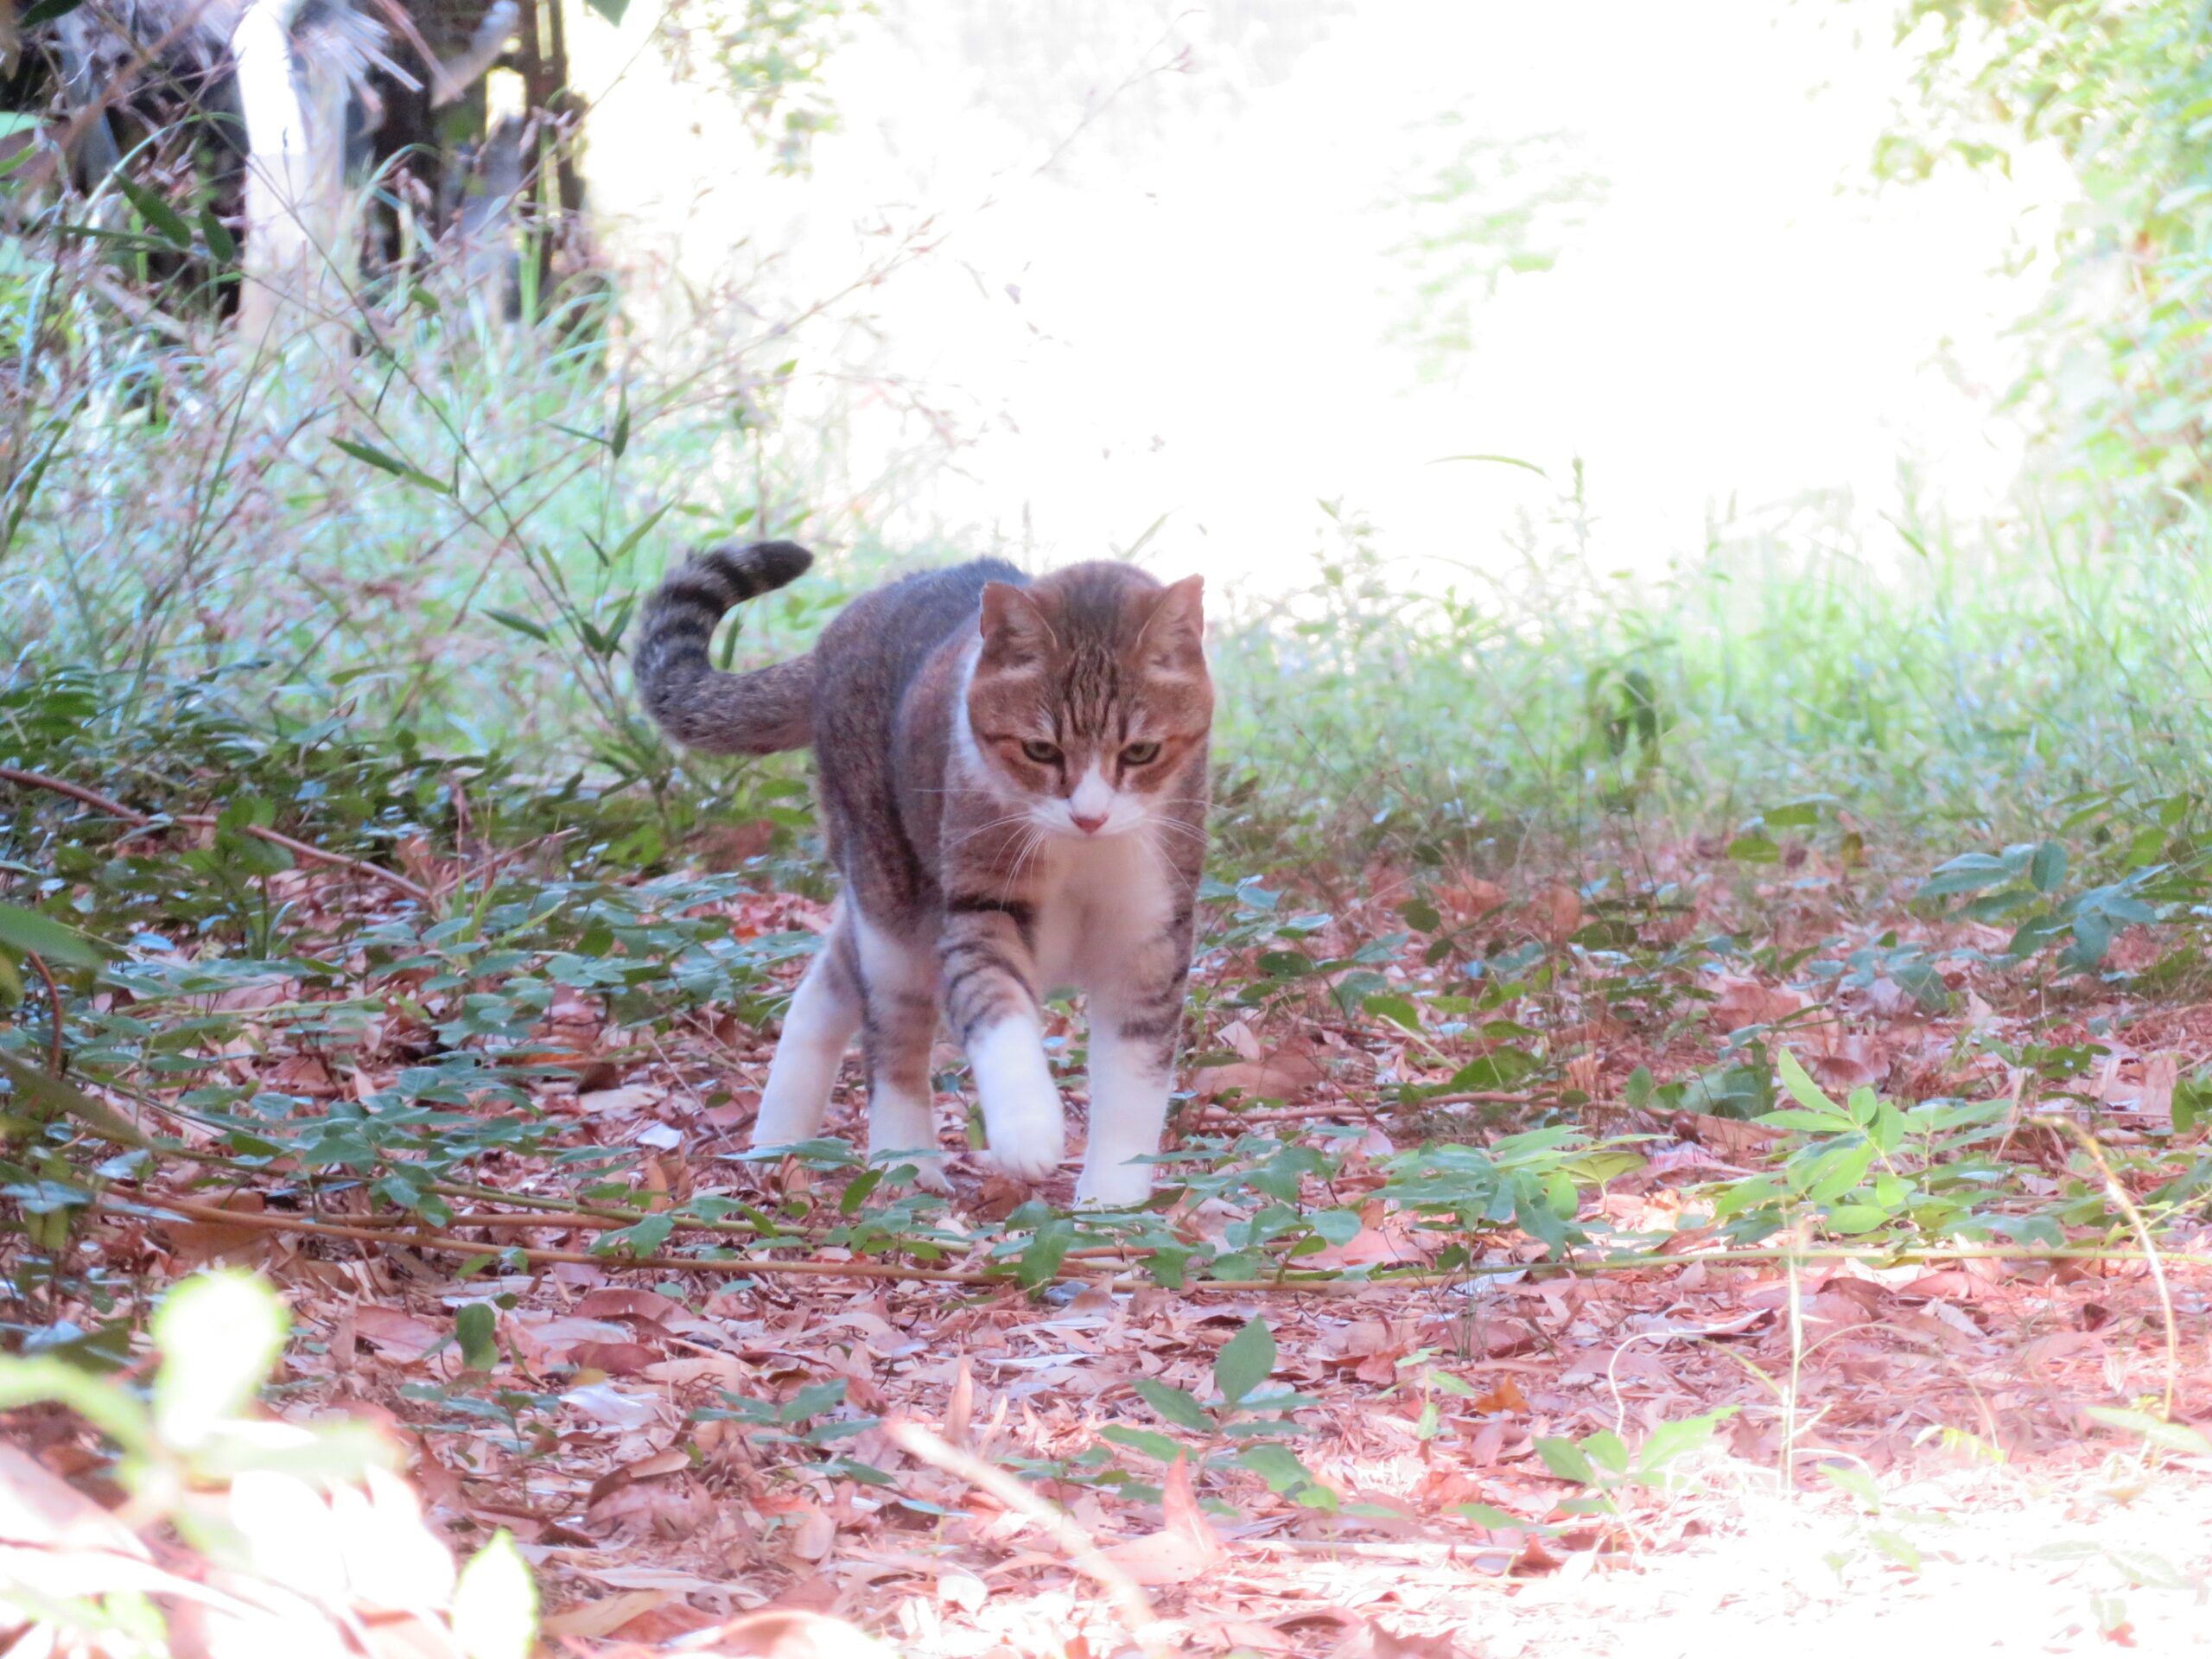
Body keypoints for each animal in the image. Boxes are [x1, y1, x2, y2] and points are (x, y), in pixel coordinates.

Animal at [632, 548, 1221, 1211]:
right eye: (1040, 751)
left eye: (1141, 752)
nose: (1090, 816)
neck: (1081, 857)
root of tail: (844, 628)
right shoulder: (978, 906)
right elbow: (996, 1008)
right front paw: (1028, 1130)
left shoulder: (1151, 934)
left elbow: (1135, 1074)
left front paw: (1114, 1202)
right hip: (890, 895)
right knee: (892, 1037)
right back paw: (906, 1166)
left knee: (824, 990)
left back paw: (775, 1143)